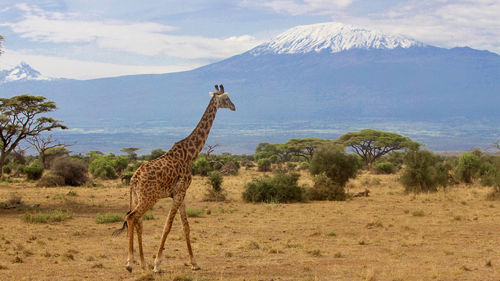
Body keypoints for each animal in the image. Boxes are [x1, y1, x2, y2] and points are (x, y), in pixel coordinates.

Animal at [114, 83, 235, 272]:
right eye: (227, 98)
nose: (234, 107)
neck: (190, 154)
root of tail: (134, 179)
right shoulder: (179, 192)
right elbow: (168, 226)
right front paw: (157, 264)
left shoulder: (181, 193)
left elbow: (186, 226)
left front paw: (194, 263)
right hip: (149, 198)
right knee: (131, 217)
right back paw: (130, 263)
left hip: (138, 197)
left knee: (138, 221)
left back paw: (142, 263)